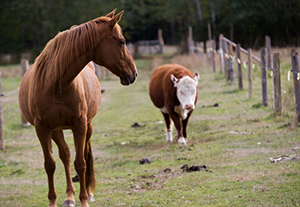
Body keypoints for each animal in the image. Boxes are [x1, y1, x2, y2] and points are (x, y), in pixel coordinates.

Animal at [17, 9, 137, 207]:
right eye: (121, 41)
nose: (134, 73)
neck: (56, 84)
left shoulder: (80, 124)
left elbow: (81, 163)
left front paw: (84, 200)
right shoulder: (42, 128)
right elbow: (50, 164)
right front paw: (53, 201)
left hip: (87, 126)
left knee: (85, 153)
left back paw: (87, 193)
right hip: (56, 130)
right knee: (64, 156)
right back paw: (69, 197)